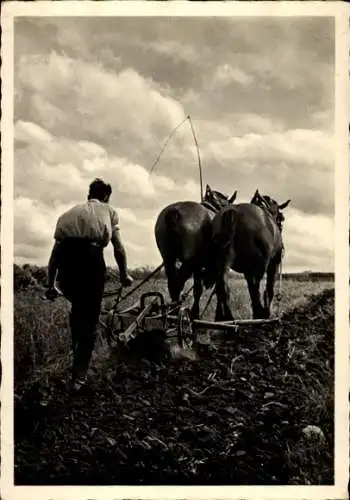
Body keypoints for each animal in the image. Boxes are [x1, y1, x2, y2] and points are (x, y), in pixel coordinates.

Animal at [154, 186, 237, 318]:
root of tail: (175, 212)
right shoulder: (219, 264)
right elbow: (221, 289)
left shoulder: (199, 267)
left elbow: (198, 289)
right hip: (190, 262)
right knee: (178, 283)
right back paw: (176, 310)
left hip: (168, 258)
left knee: (173, 283)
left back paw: (174, 310)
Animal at [202, 189, 290, 322]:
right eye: (281, 218)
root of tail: (233, 213)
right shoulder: (272, 264)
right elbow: (269, 289)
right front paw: (266, 313)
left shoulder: (247, 270)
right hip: (258, 266)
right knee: (255, 289)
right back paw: (258, 314)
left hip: (223, 261)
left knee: (222, 286)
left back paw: (226, 317)